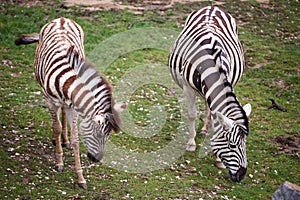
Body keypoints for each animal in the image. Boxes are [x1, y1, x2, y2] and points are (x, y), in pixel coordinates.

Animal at [15, 17, 126, 189]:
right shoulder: (49, 100)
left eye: (108, 136)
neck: (66, 82)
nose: (96, 159)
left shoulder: (73, 107)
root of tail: (62, 19)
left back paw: (64, 140)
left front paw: (80, 178)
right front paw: (59, 162)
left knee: (63, 113)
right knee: (58, 122)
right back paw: (58, 140)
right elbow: (56, 127)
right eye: (98, 133)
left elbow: (75, 139)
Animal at [169, 6, 251, 182]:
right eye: (232, 145)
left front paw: (218, 160)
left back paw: (206, 129)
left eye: (245, 144)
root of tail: (213, 7)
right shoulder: (187, 87)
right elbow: (192, 115)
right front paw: (191, 143)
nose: (241, 176)